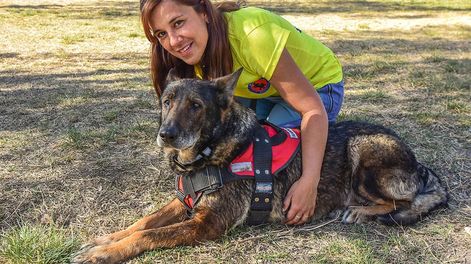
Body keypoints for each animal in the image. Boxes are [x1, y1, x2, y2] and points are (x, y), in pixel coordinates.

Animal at [72, 70, 448, 264]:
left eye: (195, 106)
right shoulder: (184, 202)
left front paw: (104, 254)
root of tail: (419, 164)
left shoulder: (205, 224)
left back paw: (359, 210)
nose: (166, 135)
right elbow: (143, 222)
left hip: (363, 150)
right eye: (167, 102)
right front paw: (106, 239)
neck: (213, 149)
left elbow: (149, 234)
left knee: (400, 202)